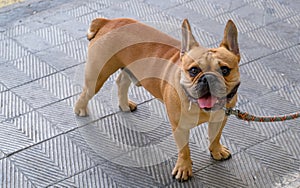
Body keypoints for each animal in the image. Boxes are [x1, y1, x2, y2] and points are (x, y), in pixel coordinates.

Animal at [75, 17, 241, 181]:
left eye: (225, 70)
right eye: (193, 70)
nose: (208, 78)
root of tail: (108, 21)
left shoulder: (220, 119)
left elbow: (215, 136)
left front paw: (216, 150)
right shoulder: (179, 127)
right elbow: (184, 149)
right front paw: (184, 168)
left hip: (128, 68)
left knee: (122, 81)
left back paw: (125, 105)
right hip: (97, 75)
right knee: (86, 92)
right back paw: (80, 109)